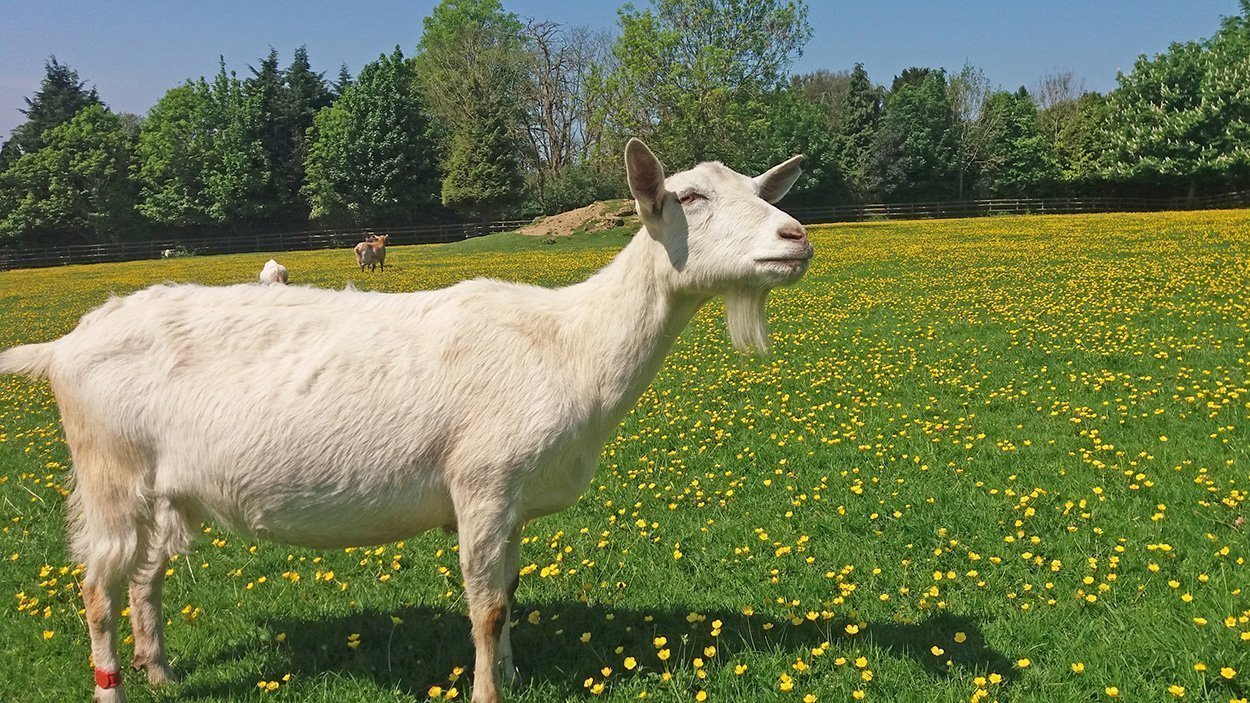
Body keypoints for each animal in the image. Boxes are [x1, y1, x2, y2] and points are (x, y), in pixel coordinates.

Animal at [0, 138, 811, 703]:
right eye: (690, 196)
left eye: (758, 189)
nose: (796, 236)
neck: (569, 343)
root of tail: (66, 344)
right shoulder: (481, 483)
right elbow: (486, 606)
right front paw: (486, 690)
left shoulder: (510, 501)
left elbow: (509, 589)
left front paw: (513, 675)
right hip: (108, 471)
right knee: (96, 588)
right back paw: (113, 684)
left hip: (162, 489)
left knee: (145, 579)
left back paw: (161, 671)